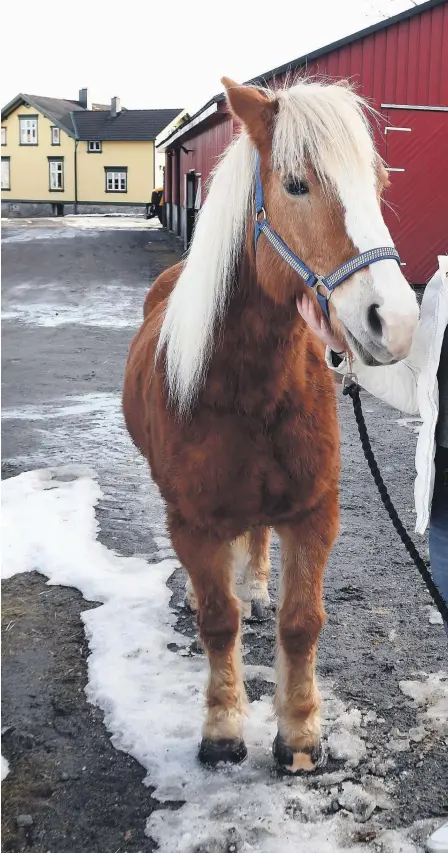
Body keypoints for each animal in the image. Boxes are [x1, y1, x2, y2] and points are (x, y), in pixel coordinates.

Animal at [121, 78, 416, 772]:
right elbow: (217, 623)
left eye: (378, 183)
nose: (395, 321)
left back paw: (255, 587)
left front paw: (300, 737)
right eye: (296, 185)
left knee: (256, 539)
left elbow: (302, 621)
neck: (248, 388)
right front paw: (224, 730)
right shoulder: (192, 520)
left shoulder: (314, 510)